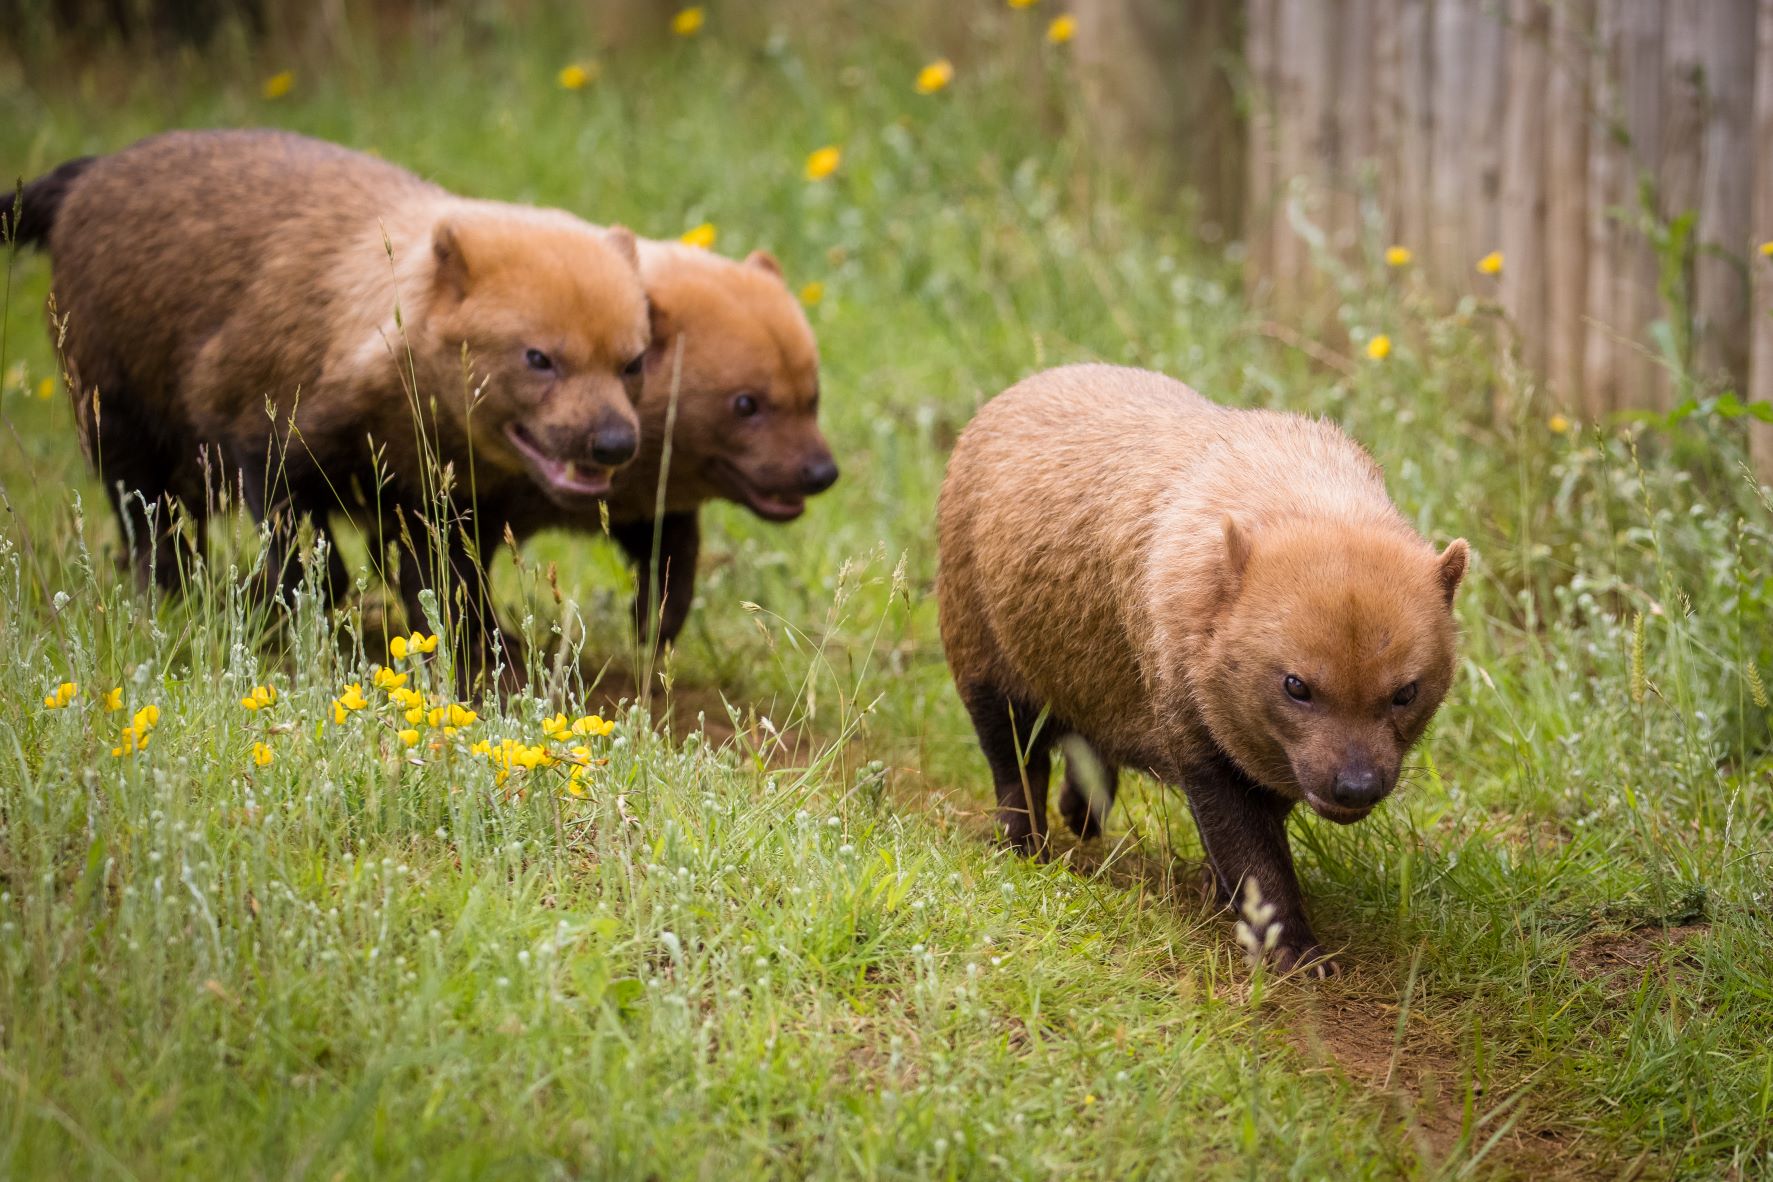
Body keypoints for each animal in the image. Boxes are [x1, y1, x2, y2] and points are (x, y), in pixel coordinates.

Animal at [482, 237, 833, 652]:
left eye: (812, 394)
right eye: (746, 403)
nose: (819, 471)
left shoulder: (641, 495)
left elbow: (667, 546)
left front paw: (653, 621)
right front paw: (496, 643)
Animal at [943, 365, 1468, 978]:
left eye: (1406, 692)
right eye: (1296, 685)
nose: (1355, 785)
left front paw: (1227, 900)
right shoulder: (1196, 732)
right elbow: (1250, 852)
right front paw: (1297, 954)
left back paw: (1082, 815)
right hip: (977, 647)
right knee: (1014, 760)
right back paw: (1026, 847)